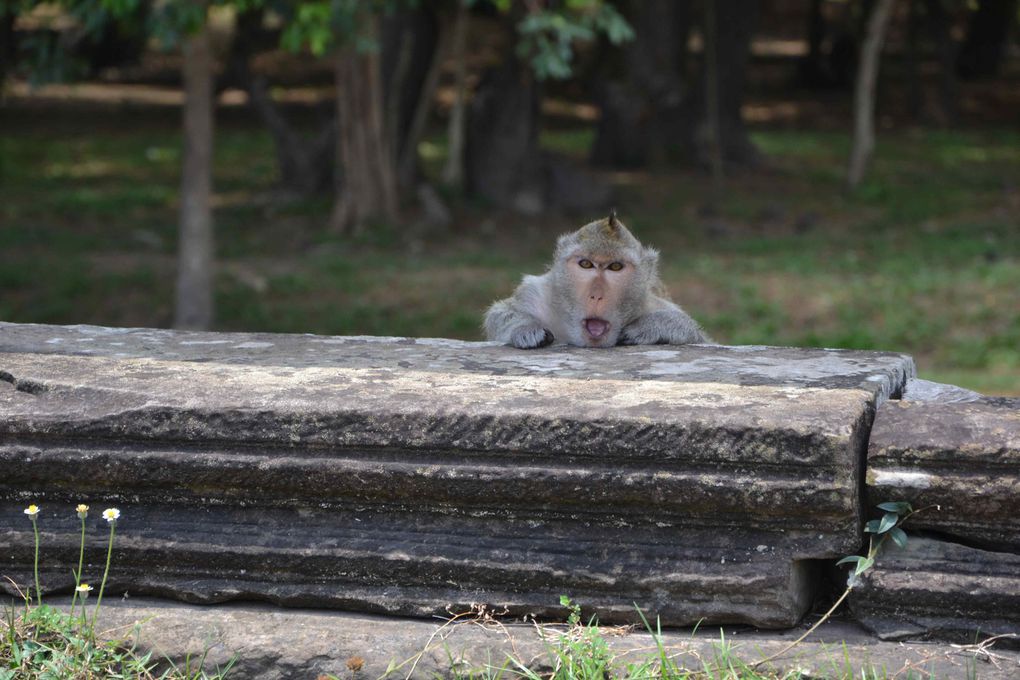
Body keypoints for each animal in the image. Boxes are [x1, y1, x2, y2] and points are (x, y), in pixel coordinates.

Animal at [483, 213, 709, 348]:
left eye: (615, 267)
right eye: (586, 264)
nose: (597, 295)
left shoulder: (655, 304)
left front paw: (655, 326)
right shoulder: (536, 295)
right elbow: (499, 313)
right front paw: (525, 327)